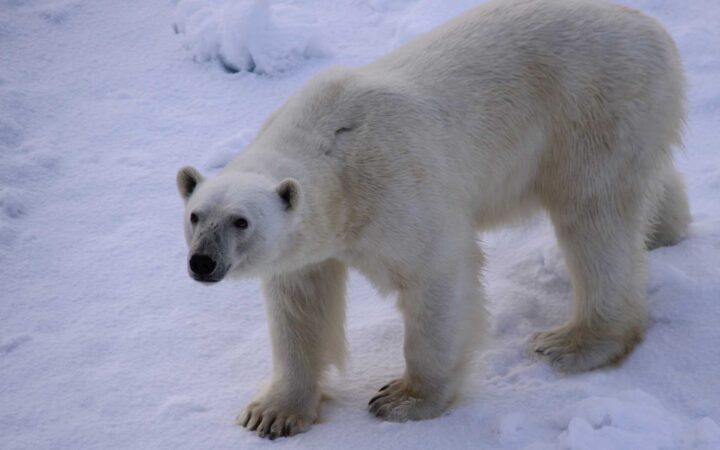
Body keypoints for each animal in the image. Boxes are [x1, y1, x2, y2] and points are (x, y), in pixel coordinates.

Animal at [176, 0, 690, 439]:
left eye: (240, 221)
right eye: (195, 215)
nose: (202, 263)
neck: (333, 149)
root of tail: (653, 30)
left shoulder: (395, 188)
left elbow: (436, 276)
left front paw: (402, 399)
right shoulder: (313, 239)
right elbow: (300, 304)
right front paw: (272, 413)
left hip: (595, 108)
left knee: (594, 219)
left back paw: (575, 341)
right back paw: (665, 232)